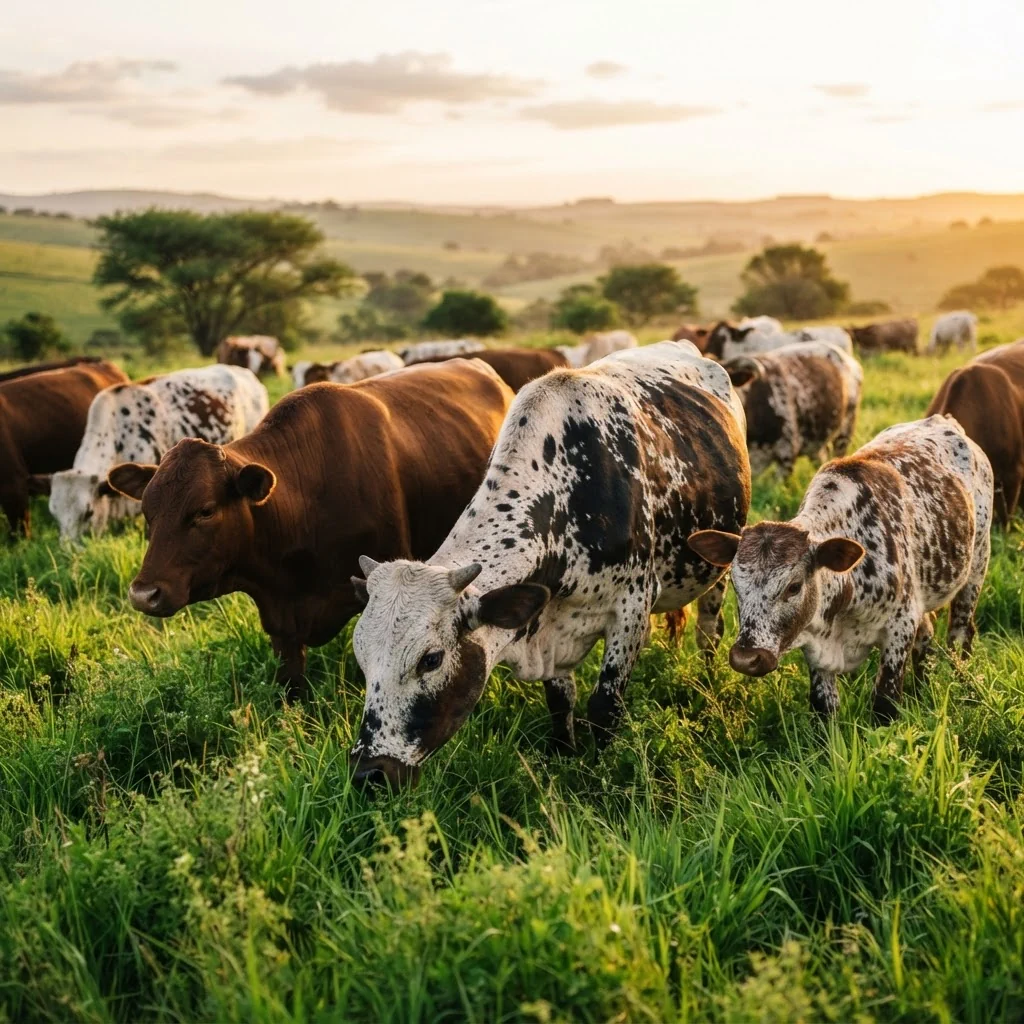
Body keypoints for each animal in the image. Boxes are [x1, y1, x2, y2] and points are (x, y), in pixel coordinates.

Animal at [347, 341, 751, 788]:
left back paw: (707, 679)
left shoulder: (632, 607)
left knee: (709, 631)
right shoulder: (552, 624)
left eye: (430, 659)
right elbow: (560, 700)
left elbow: (604, 708)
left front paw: (602, 772)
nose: (369, 772)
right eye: (362, 657)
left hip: (717, 563)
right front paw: (563, 753)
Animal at [689, 415, 993, 723]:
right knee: (927, 635)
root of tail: (944, 421)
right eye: (736, 586)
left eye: (794, 587)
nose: (746, 659)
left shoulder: (901, 625)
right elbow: (825, 708)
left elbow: (885, 703)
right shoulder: (817, 646)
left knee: (960, 633)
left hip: (977, 563)